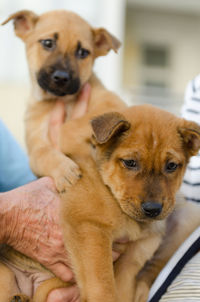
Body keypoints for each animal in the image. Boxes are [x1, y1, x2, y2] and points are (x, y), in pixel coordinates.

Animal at [0, 104, 199, 302]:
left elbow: (123, 291)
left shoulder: (133, 256)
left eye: (171, 166)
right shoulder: (91, 228)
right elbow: (103, 287)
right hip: (6, 274)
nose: (153, 209)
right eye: (130, 162)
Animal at [2, 10, 126, 192]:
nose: (61, 77)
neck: (63, 100)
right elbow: (43, 154)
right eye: (48, 43)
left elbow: (71, 126)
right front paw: (65, 172)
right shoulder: (36, 146)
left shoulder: (115, 105)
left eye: (83, 52)